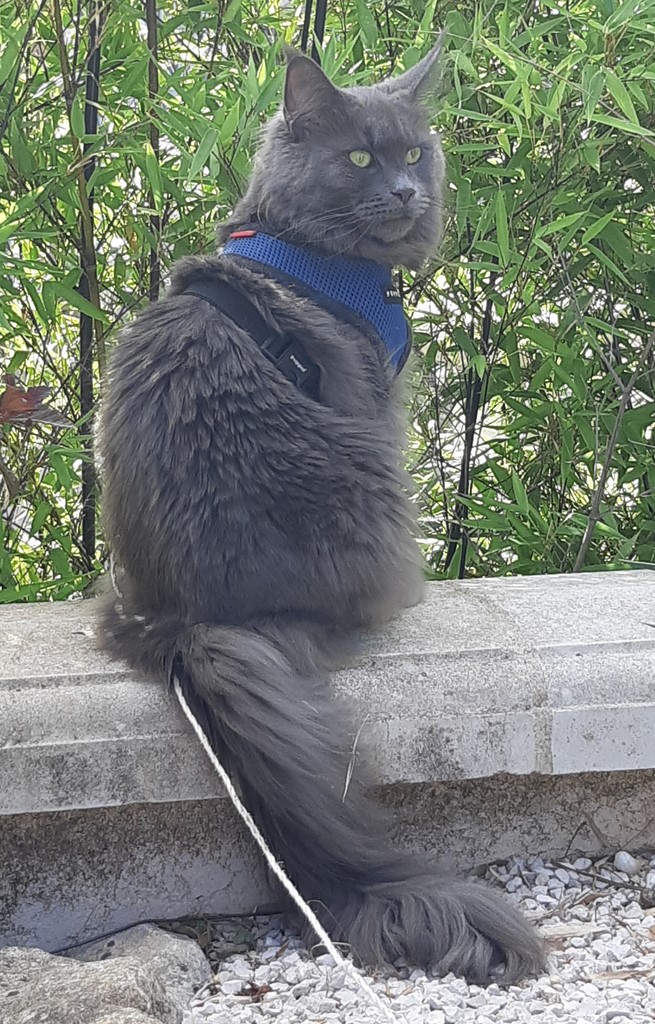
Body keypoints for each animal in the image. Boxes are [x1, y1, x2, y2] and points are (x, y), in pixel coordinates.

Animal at [97, 43, 544, 985]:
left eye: (414, 153)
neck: (308, 252)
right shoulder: (377, 395)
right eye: (360, 159)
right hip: (368, 480)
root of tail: (196, 622)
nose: (407, 192)